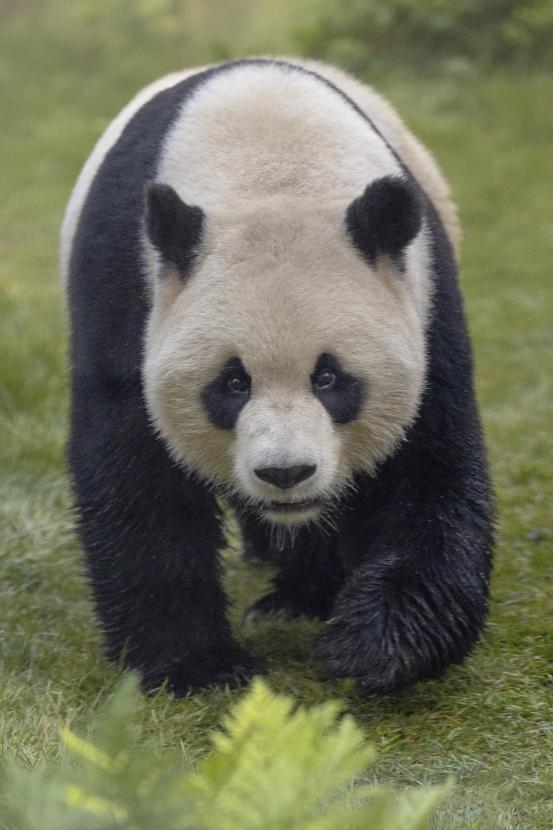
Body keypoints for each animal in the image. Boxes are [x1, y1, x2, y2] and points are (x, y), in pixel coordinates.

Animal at [61, 58, 494, 696]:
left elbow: (425, 465)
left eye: (330, 379)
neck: (272, 167)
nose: (286, 473)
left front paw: (374, 645)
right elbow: (136, 472)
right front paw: (196, 665)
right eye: (232, 383)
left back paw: (300, 595)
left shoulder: (424, 296)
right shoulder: (125, 285)